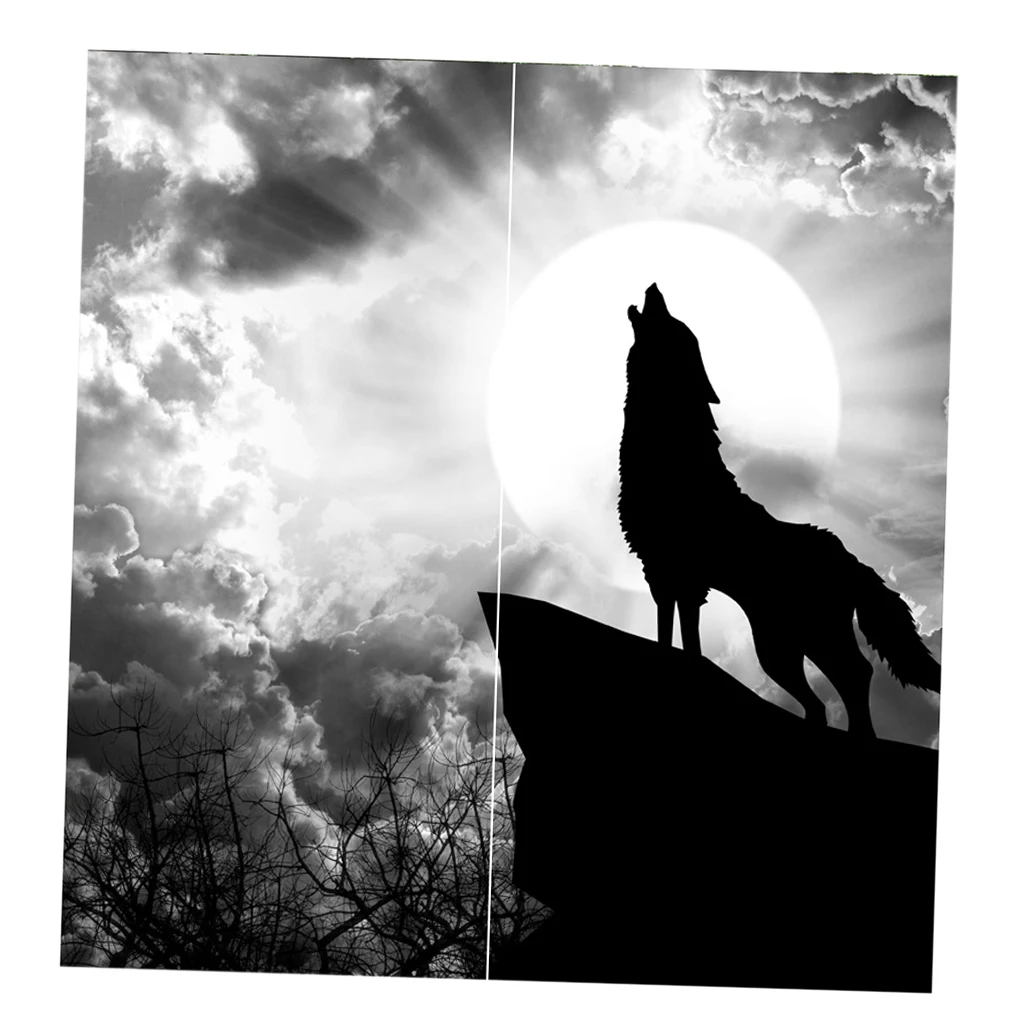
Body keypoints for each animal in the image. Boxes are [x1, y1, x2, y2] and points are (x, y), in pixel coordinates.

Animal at [618, 283, 940, 738]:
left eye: (672, 323)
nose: (654, 287)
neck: (672, 454)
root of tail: (853, 560)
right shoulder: (668, 572)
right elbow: (673, 631)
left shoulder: (675, 570)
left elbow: (684, 635)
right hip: (781, 648)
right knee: (825, 697)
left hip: (801, 639)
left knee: (855, 674)